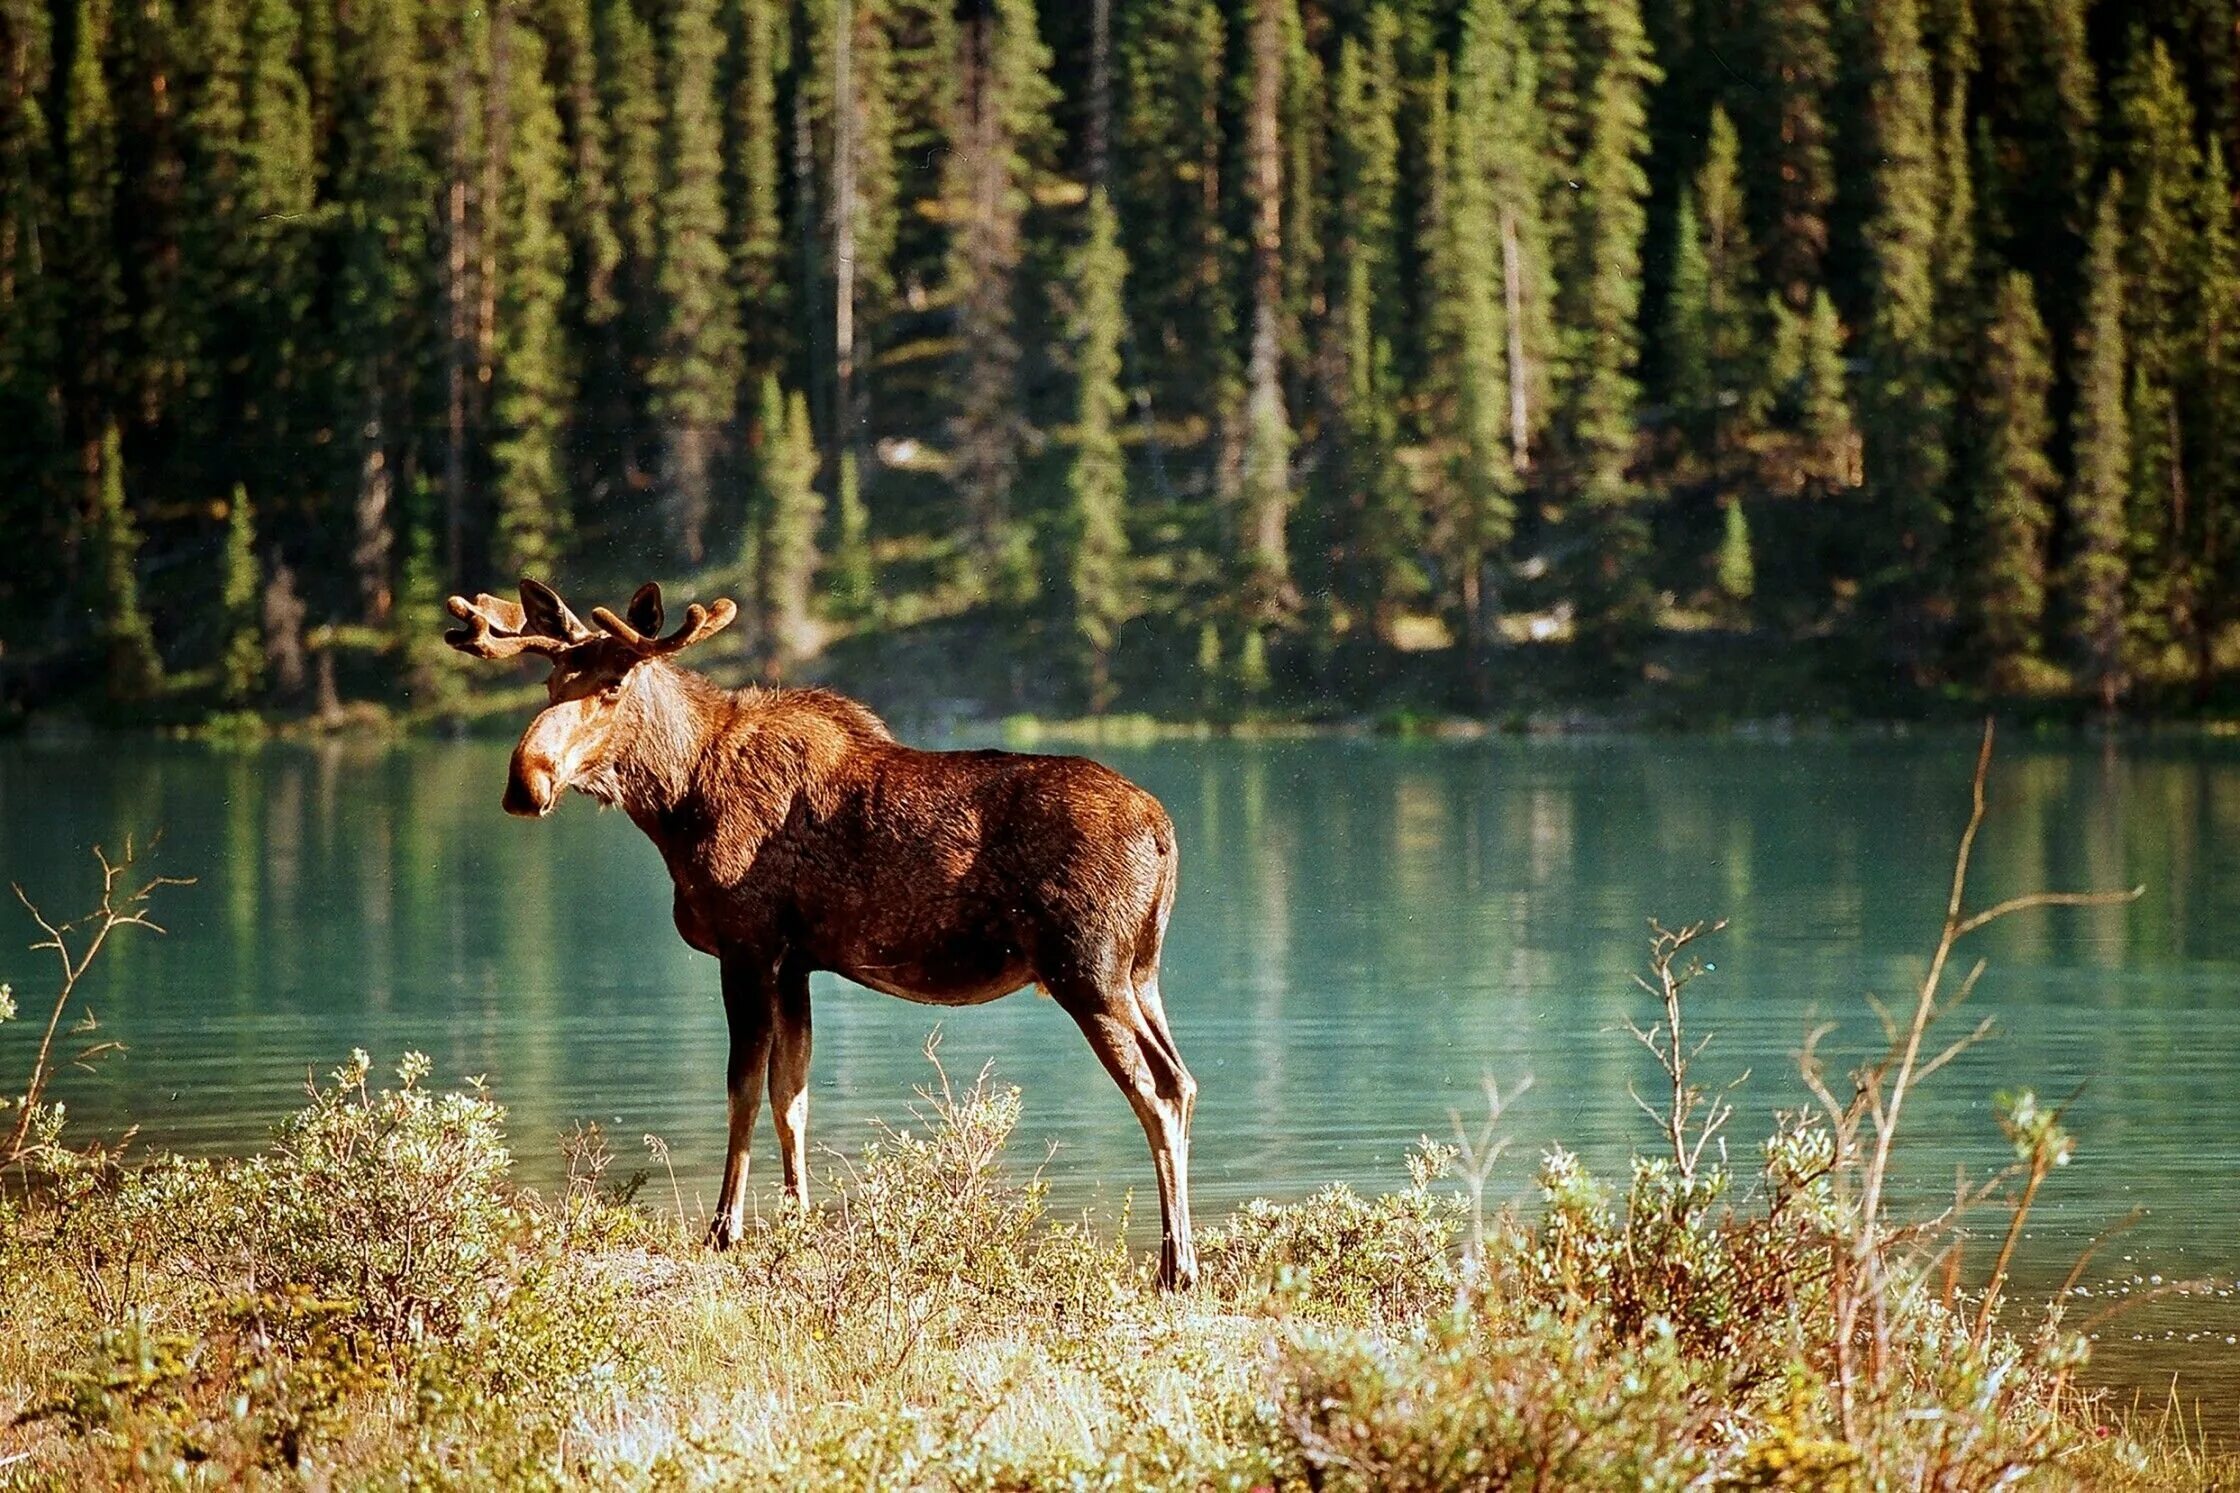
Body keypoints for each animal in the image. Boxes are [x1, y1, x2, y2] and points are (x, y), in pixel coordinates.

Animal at [443, 577, 1200, 1289]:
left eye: (613, 686)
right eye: (549, 683)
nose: (525, 782)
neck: (675, 802)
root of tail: (1165, 833)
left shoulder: (747, 947)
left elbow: (743, 1089)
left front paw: (725, 1227)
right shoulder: (797, 962)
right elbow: (792, 1095)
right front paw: (797, 1220)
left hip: (1088, 970)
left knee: (1158, 1090)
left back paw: (1177, 1263)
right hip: (1141, 973)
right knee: (1184, 1080)